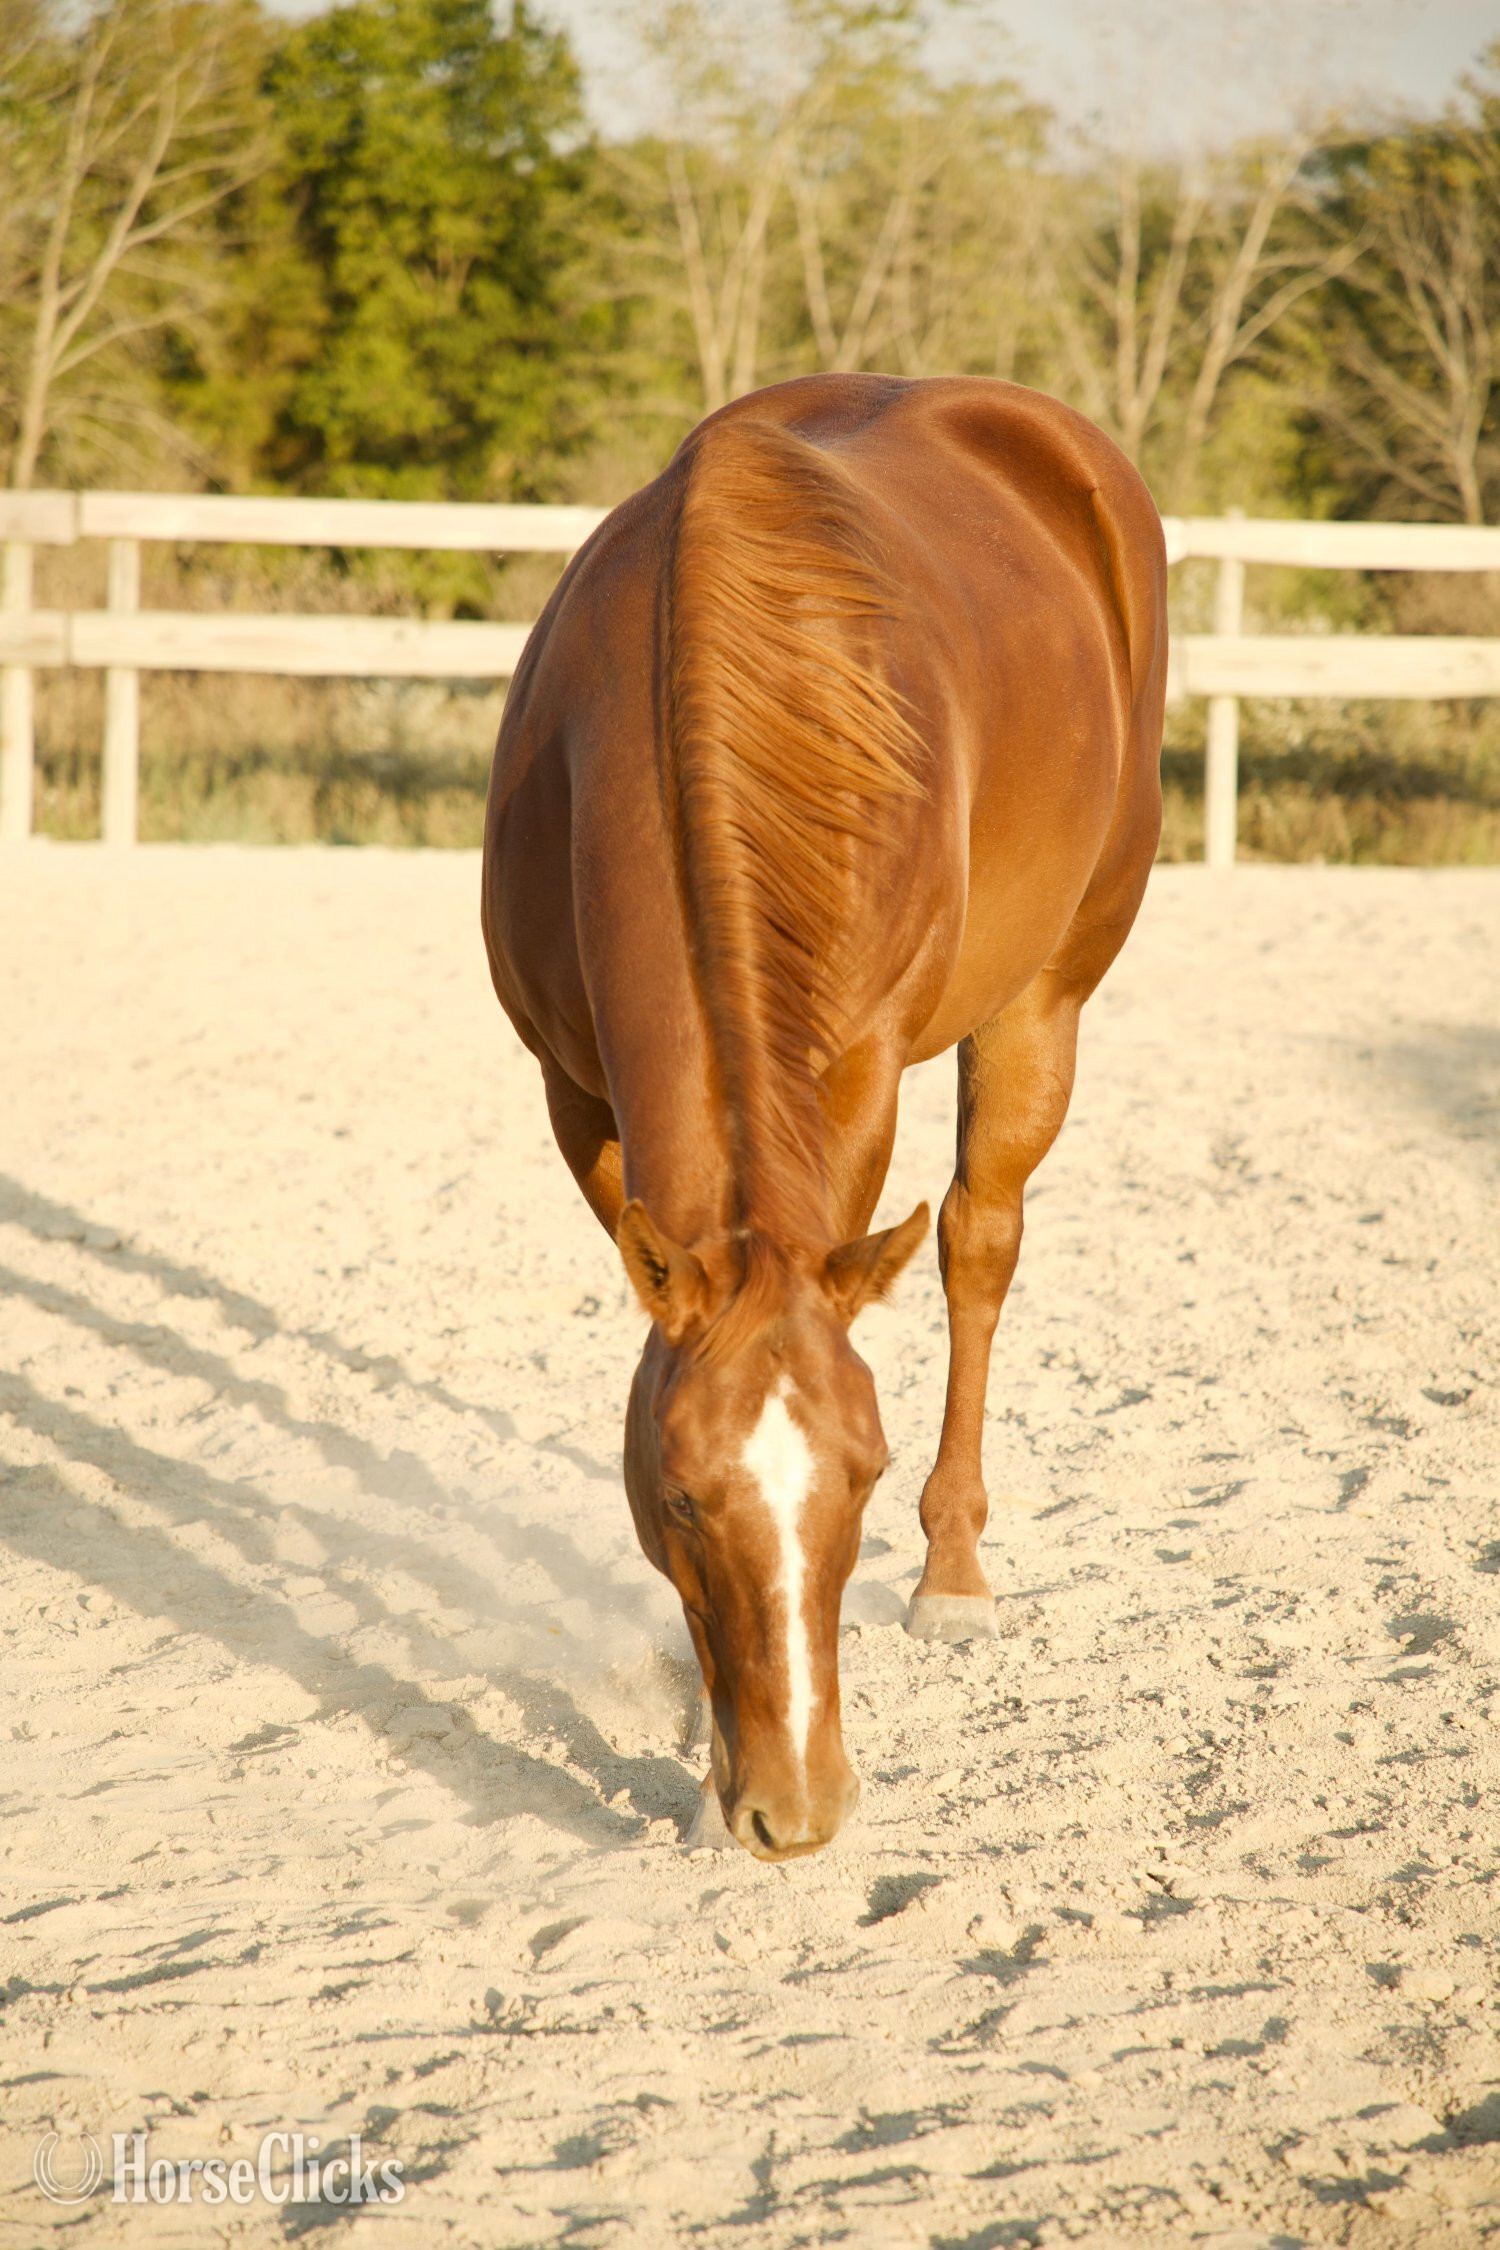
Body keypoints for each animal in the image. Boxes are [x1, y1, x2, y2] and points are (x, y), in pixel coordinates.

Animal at [482, 374, 1167, 1862]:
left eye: (863, 1474)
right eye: (681, 1494)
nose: (794, 1813)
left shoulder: (857, 1076)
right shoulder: (573, 1097)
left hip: (1047, 995)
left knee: (978, 1240)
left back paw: (956, 1571)